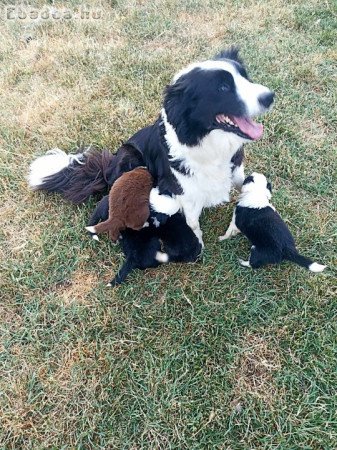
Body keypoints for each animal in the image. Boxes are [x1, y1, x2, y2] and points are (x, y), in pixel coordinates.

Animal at [29, 47, 272, 243]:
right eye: (222, 88)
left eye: (246, 78)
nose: (270, 96)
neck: (207, 143)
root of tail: (107, 167)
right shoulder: (184, 189)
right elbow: (193, 222)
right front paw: (198, 245)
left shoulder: (235, 167)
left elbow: (242, 184)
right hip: (130, 157)